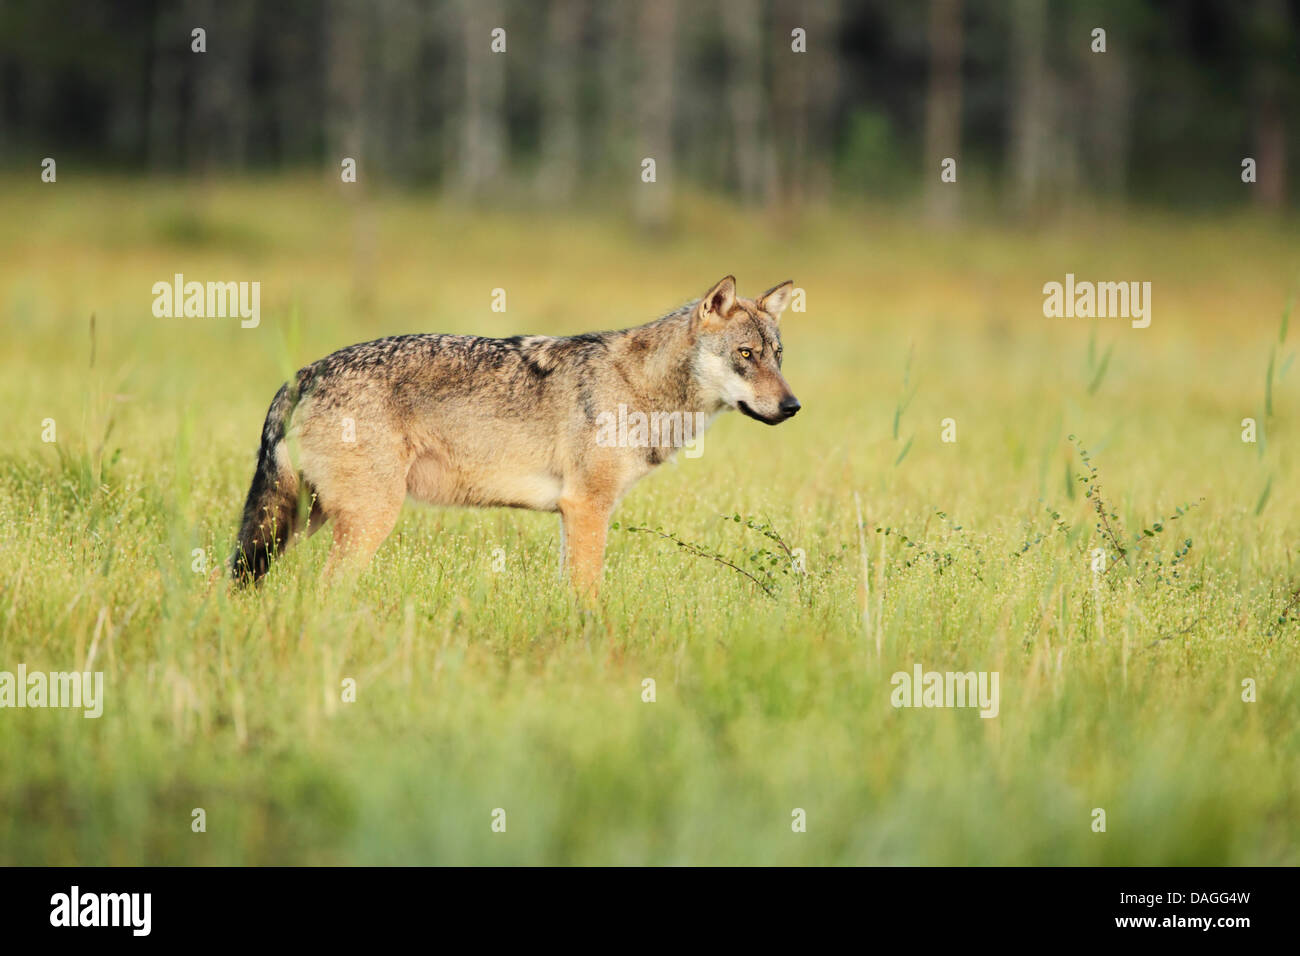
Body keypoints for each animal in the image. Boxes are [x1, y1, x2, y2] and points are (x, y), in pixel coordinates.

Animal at [233, 273, 800, 595]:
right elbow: (588, 593)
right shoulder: (587, 507)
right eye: (745, 355)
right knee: (325, 592)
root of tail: (304, 373)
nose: (793, 407)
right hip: (364, 518)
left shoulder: (573, 514)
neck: (640, 388)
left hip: (301, 521)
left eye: (777, 356)